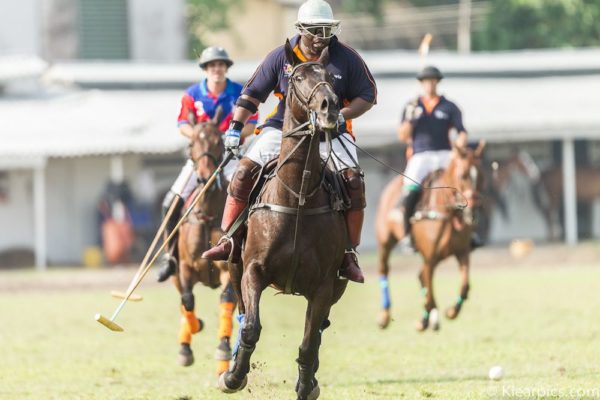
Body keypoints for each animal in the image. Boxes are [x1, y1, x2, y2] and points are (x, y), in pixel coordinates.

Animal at [218, 43, 346, 400]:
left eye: (331, 76)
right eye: (298, 77)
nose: (330, 108)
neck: (297, 198)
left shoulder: (324, 286)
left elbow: (309, 343)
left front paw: (307, 385)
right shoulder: (253, 269)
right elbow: (251, 327)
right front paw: (234, 376)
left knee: (319, 332)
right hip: (233, 264)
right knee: (241, 310)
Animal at [376, 142, 482, 330]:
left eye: (481, 175)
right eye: (463, 175)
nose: (473, 211)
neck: (448, 212)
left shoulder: (462, 252)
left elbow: (464, 285)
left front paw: (451, 312)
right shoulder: (430, 257)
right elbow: (431, 289)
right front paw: (429, 318)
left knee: (421, 276)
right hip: (385, 242)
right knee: (385, 270)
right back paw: (385, 316)